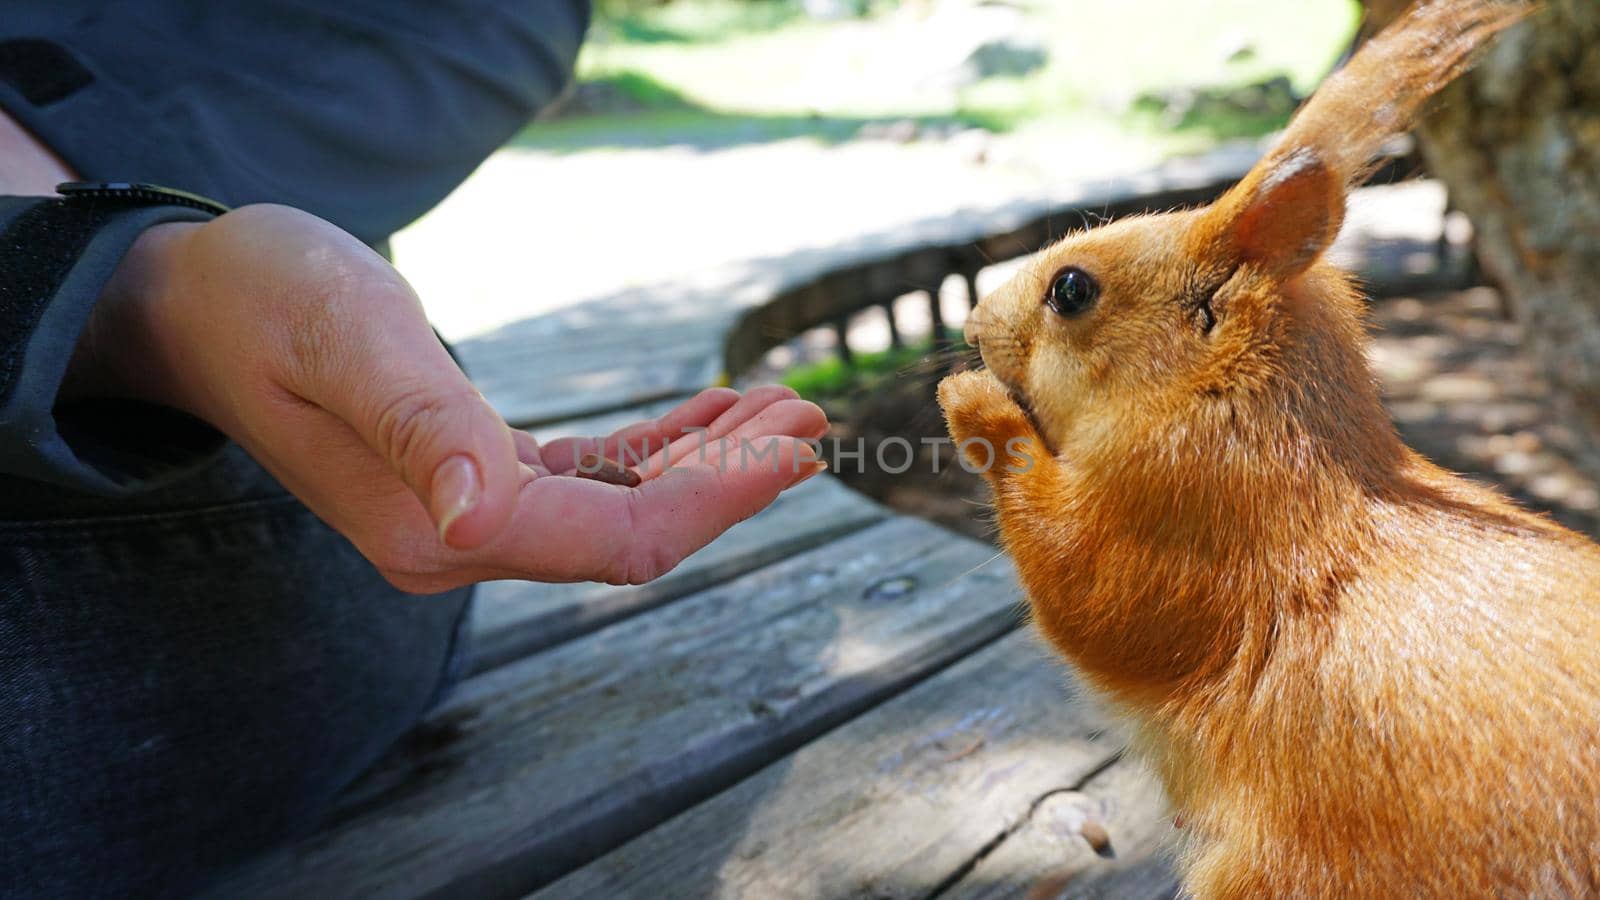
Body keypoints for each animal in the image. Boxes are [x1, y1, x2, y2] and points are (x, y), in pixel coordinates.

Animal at [940, 3, 1600, 890]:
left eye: (1071, 290)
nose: (973, 324)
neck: (1236, 405)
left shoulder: (1182, 516)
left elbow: (1084, 591)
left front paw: (973, 400)